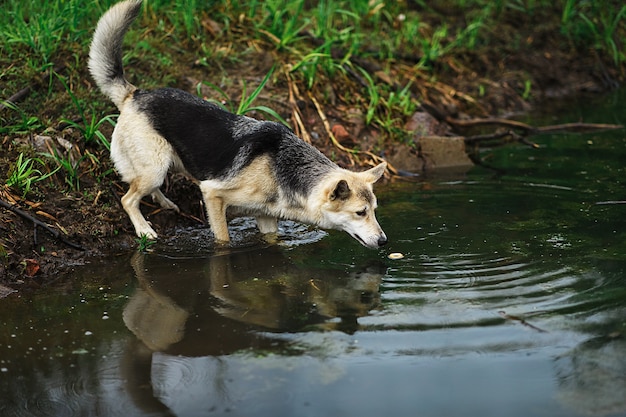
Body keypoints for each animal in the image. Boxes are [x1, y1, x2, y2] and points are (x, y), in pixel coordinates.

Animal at [88, 0, 386, 247]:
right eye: (360, 212)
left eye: (374, 211)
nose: (384, 242)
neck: (282, 171)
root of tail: (135, 94)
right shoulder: (213, 196)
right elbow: (223, 239)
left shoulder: (266, 218)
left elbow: (271, 239)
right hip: (155, 166)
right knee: (128, 198)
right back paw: (144, 229)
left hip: (164, 165)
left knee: (147, 189)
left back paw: (166, 203)